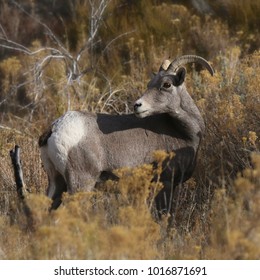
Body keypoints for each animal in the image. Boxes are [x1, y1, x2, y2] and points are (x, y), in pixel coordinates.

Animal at [38, 54, 213, 212]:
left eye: (167, 84)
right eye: (150, 84)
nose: (137, 105)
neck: (184, 133)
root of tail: (55, 128)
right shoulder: (166, 184)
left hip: (56, 183)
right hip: (81, 183)